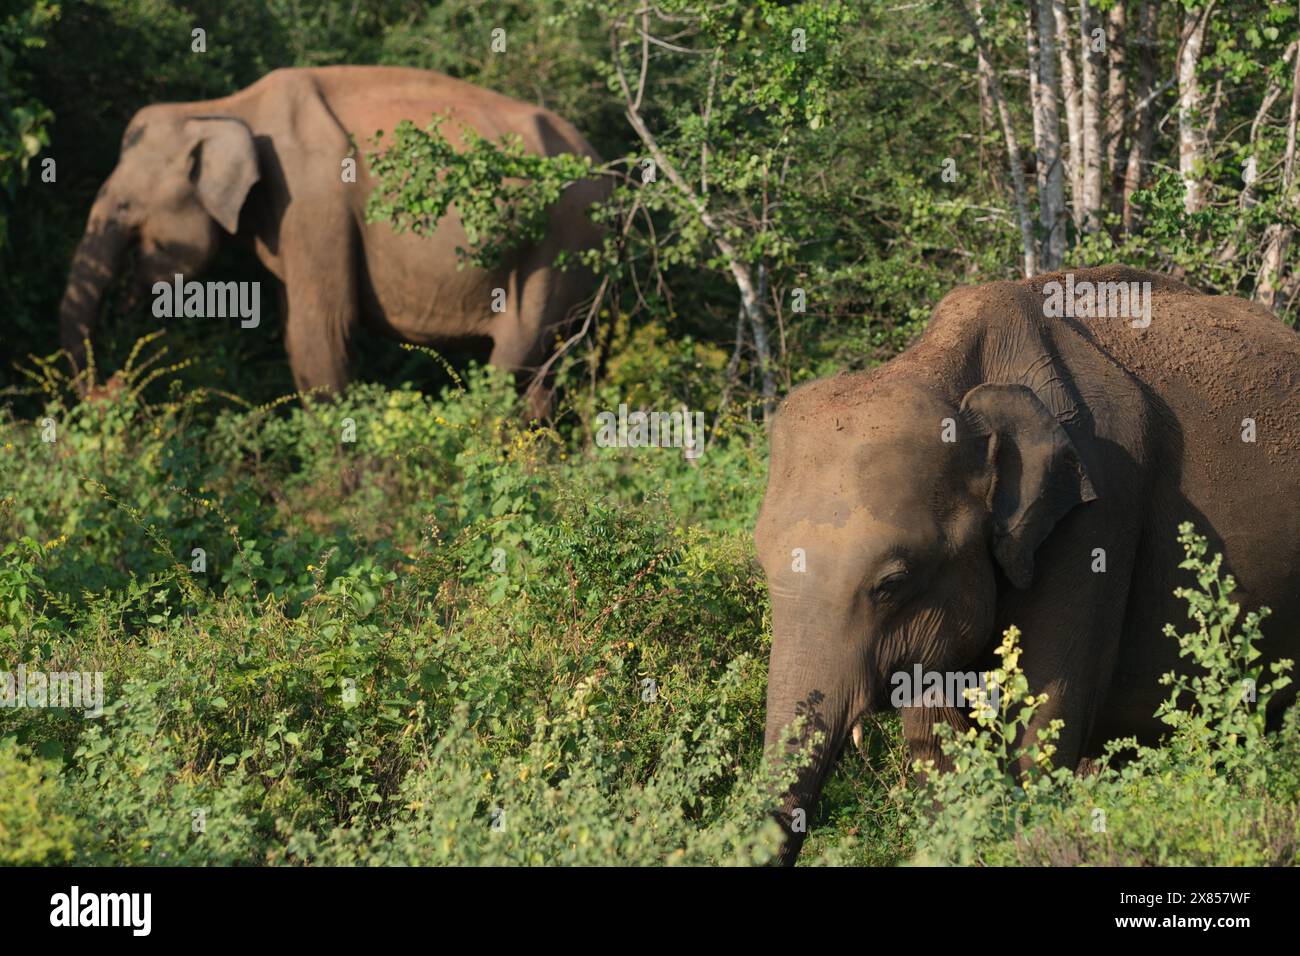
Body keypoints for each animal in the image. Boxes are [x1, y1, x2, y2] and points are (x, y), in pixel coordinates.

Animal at [58, 66, 607, 417]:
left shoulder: (314, 203)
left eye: (124, 208)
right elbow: (296, 335)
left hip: (562, 243)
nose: (114, 387)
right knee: (545, 371)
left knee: (516, 355)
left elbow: (319, 330)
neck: (221, 109)